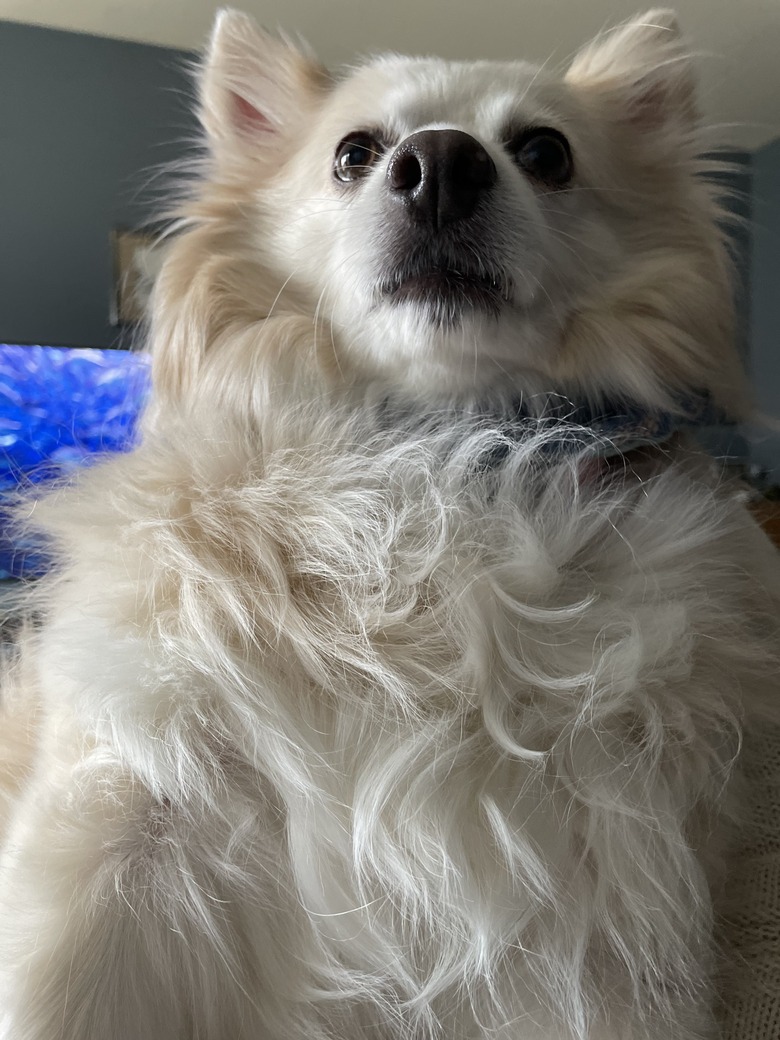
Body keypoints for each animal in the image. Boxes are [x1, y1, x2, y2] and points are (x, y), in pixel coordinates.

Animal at [1, 10, 780, 1040]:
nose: (441, 163)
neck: (439, 457)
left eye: (546, 152)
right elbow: (59, 993)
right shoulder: (127, 809)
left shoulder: (603, 888)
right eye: (354, 154)